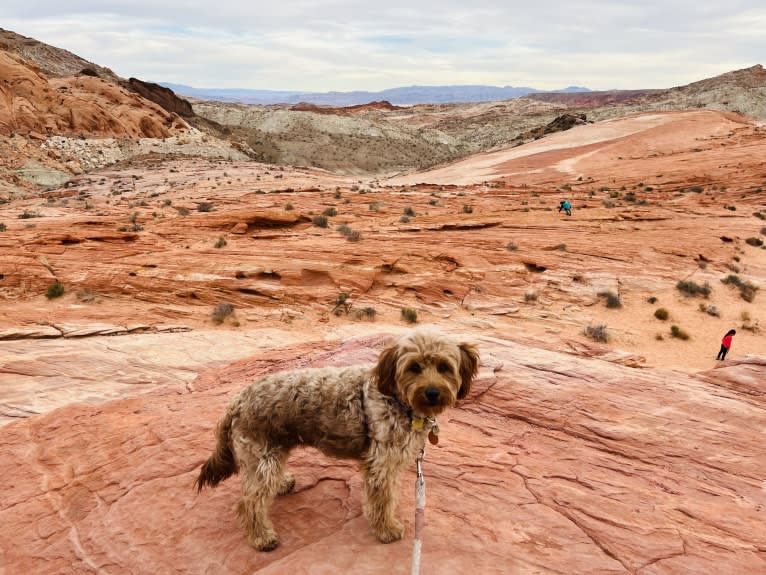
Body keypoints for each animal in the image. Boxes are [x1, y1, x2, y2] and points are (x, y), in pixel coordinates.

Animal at [195, 326, 480, 552]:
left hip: (273, 451)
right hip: (262, 456)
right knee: (249, 502)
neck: (398, 399)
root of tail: (237, 401)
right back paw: (262, 537)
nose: (432, 393)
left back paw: (283, 483)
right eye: (414, 367)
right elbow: (382, 499)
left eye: (444, 367)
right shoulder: (382, 463)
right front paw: (386, 529)